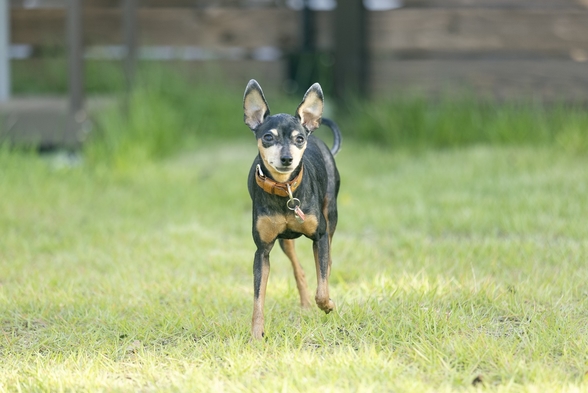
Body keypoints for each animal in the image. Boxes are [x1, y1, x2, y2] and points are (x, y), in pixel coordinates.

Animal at [241, 79, 340, 336]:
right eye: (268, 137)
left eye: (299, 139)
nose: (287, 158)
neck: (284, 189)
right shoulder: (262, 251)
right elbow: (258, 298)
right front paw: (256, 335)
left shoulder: (320, 236)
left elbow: (322, 286)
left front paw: (328, 304)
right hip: (284, 241)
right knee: (298, 268)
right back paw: (304, 305)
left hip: (331, 215)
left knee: (327, 262)